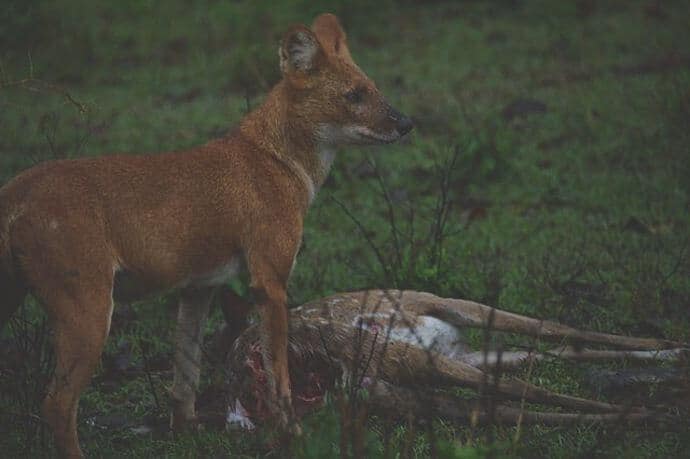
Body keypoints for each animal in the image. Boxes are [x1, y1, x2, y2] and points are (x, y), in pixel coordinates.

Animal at [0, 12, 408, 458]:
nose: (407, 123)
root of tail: (16, 187)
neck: (277, 160)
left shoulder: (197, 289)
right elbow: (278, 371)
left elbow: (185, 377)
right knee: (56, 403)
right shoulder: (269, 282)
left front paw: (186, 432)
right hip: (89, 315)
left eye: (374, 88)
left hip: (17, 301)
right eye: (354, 95)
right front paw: (293, 434)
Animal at [218, 290, 684, 430]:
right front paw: (644, 414)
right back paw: (670, 355)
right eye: (247, 381)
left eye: (254, 369)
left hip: (446, 307)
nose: (247, 408)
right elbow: (507, 408)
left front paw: (653, 414)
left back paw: (671, 347)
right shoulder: (389, 393)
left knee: (551, 330)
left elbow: (522, 392)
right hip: (468, 354)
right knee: (540, 353)